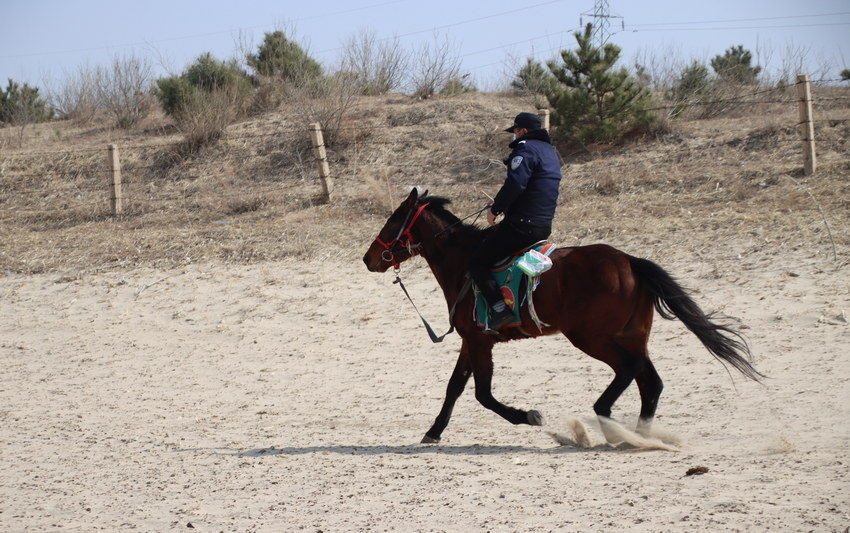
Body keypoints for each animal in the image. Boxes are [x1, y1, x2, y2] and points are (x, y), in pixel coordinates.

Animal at [362, 188, 760, 444]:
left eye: (393, 221)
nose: (368, 259)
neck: (463, 263)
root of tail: (630, 261)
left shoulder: (477, 341)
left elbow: (482, 394)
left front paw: (527, 415)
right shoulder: (472, 340)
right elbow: (455, 387)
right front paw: (433, 431)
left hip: (591, 337)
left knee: (628, 370)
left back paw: (606, 417)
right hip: (632, 335)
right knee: (651, 382)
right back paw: (639, 435)